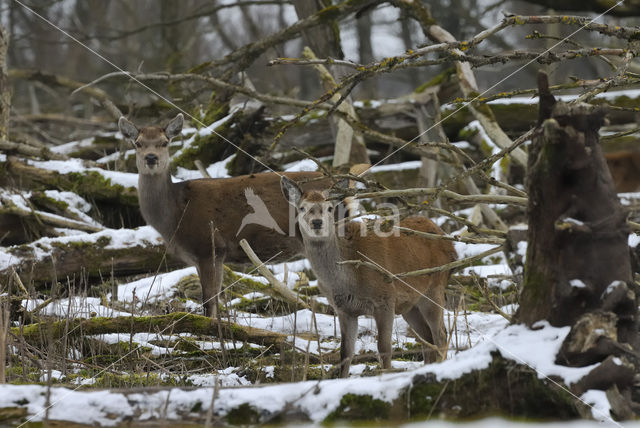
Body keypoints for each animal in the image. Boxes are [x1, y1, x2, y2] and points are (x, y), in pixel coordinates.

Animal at [117, 113, 330, 318]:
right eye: (138, 143)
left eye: (164, 142)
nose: (151, 158)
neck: (175, 214)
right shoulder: (200, 256)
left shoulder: (211, 247)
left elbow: (209, 302)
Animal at [282, 176, 458, 378]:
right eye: (302, 207)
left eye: (330, 208)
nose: (317, 222)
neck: (348, 280)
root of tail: (451, 247)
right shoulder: (344, 310)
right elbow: (345, 353)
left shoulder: (386, 299)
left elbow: (384, 348)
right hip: (410, 304)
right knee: (427, 337)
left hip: (434, 287)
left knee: (441, 334)